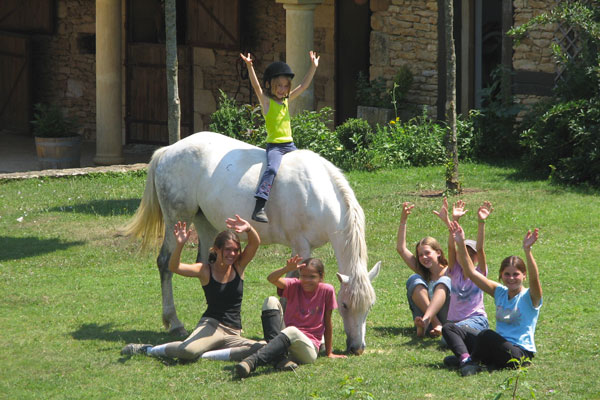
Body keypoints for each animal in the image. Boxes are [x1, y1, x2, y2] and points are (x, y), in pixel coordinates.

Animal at [123, 131, 380, 354]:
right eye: (345, 305)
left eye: (370, 306)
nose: (357, 348)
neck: (319, 194)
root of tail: (169, 150)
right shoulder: (300, 247)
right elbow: (288, 290)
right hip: (178, 218)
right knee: (165, 263)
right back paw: (174, 322)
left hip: (204, 222)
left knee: (204, 264)